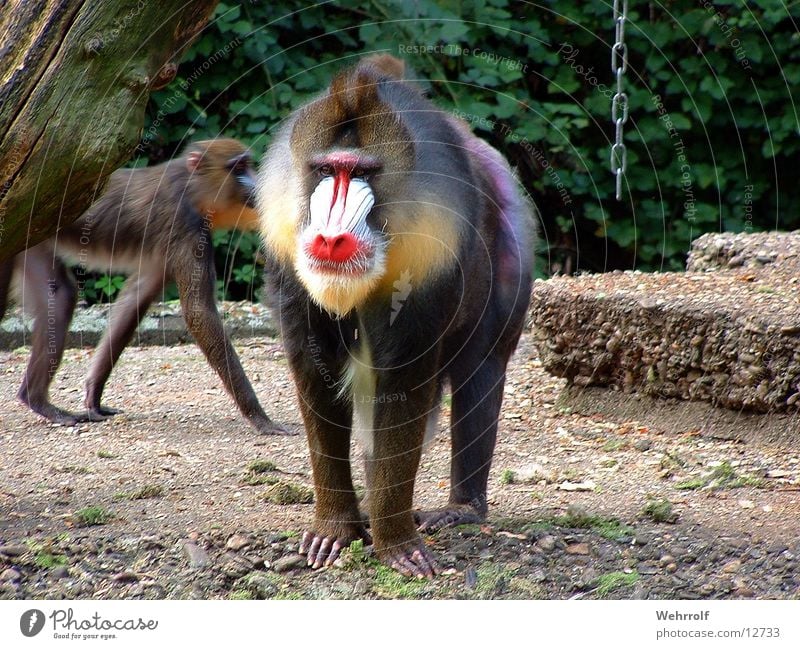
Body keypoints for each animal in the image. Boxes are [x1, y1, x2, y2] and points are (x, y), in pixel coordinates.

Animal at [0, 140, 288, 436]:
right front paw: (260, 418)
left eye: (248, 165)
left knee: (60, 296)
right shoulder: (186, 229)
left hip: (32, 237)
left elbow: (134, 300)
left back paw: (36, 400)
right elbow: (199, 313)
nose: (256, 184)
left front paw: (94, 398)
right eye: (238, 168)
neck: (191, 188)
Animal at [258, 54, 532, 572]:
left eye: (362, 173)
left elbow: (405, 395)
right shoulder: (293, 282)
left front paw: (397, 543)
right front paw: (334, 530)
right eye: (327, 169)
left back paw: (461, 508)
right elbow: (318, 389)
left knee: (481, 375)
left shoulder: (428, 273)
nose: (331, 239)